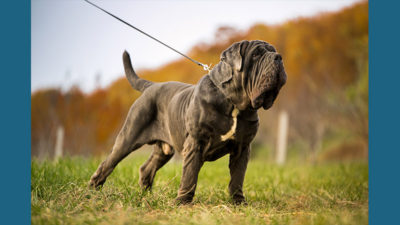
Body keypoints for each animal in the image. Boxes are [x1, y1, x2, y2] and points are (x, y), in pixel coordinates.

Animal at [89, 40, 286, 204]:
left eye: (273, 51)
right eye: (256, 54)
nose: (278, 57)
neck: (233, 103)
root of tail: (151, 86)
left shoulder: (242, 148)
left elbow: (237, 178)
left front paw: (238, 202)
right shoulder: (196, 143)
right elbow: (190, 175)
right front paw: (183, 202)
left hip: (164, 149)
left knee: (146, 168)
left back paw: (146, 196)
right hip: (128, 136)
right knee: (107, 164)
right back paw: (92, 192)